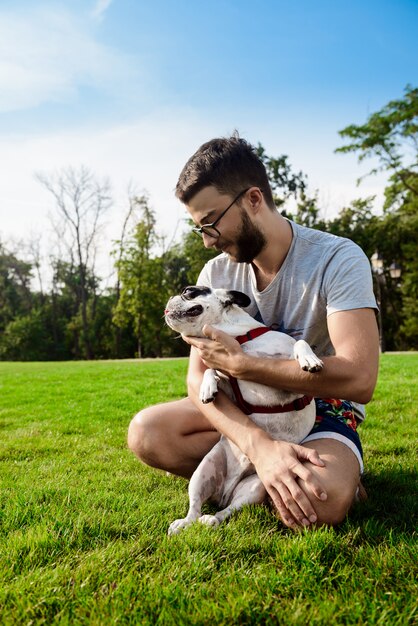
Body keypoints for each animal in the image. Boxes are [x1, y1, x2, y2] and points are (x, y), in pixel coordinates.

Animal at [164, 282, 324, 532]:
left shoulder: (290, 383)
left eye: (188, 291)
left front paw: (309, 359)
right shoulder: (231, 386)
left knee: (226, 511)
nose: (170, 298)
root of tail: (224, 493)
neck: (239, 338)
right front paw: (207, 388)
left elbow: (299, 342)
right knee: (195, 508)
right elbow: (212, 370)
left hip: (256, 486)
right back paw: (185, 523)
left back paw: (212, 519)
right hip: (203, 471)